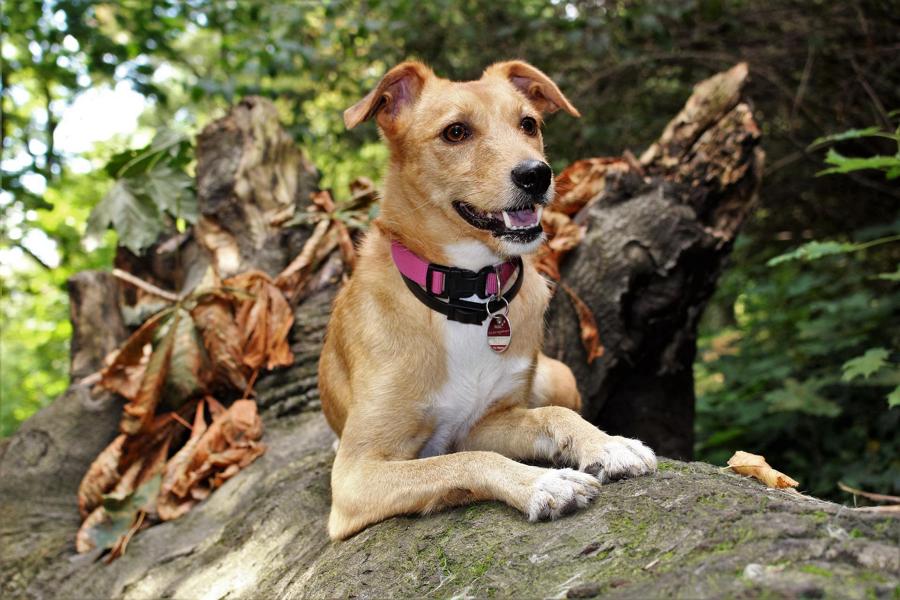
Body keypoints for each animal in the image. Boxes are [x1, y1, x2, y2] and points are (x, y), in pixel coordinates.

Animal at [320, 59, 656, 540]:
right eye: (455, 132)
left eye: (528, 124)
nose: (536, 174)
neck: (470, 295)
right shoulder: (355, 476)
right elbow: (462, 461)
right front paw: (540, 482)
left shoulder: (482, 423)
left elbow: (550, 416)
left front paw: (606, 444)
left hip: (557, 375)